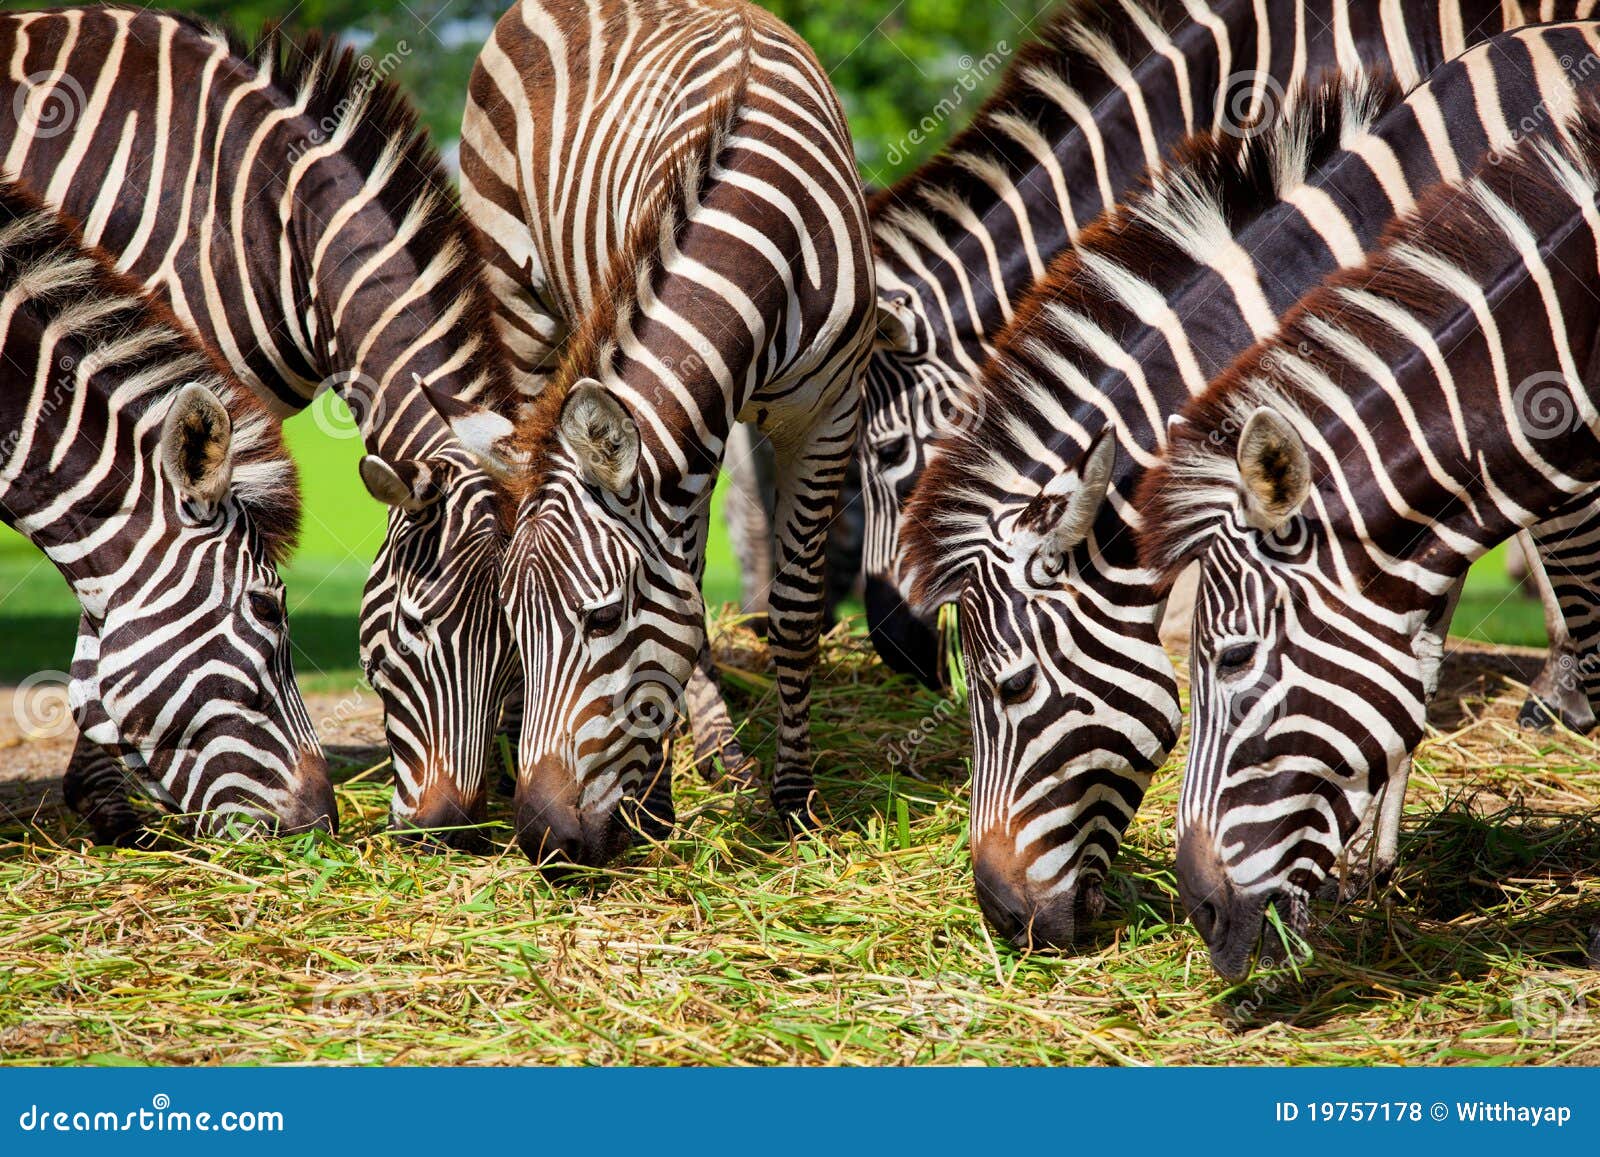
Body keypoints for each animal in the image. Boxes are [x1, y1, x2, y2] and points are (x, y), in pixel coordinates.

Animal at [445, 0, 874, 864]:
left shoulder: (829, 413)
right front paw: (660, 801)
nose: (540, 835)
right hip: (518, 294)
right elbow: (691, 607)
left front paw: (795, 800)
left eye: (603, 618)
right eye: (513, 624)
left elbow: (794, 606)